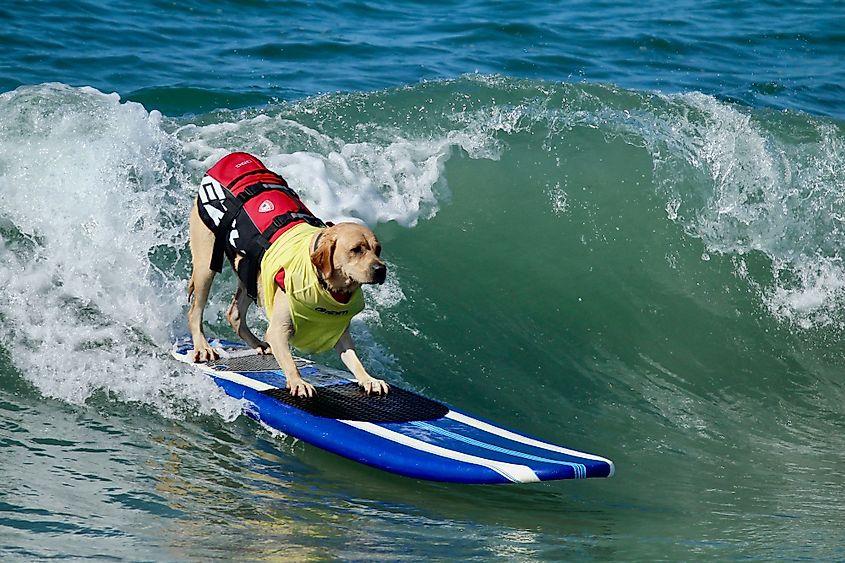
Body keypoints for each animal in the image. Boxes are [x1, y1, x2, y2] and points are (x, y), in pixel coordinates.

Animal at [185, 152, 390, 398]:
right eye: (356, 249)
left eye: (378, 249)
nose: (381, 270)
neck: (324, 284)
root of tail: (231, 157)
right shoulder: (278, 331)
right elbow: (290, 361)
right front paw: (298, 381)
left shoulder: (339, 335)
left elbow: (354, 360)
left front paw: (369, 379)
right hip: (206, 264)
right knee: (195, 311)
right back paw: (203, 346)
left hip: (249, 272)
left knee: (234, 313)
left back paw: (257, 344)